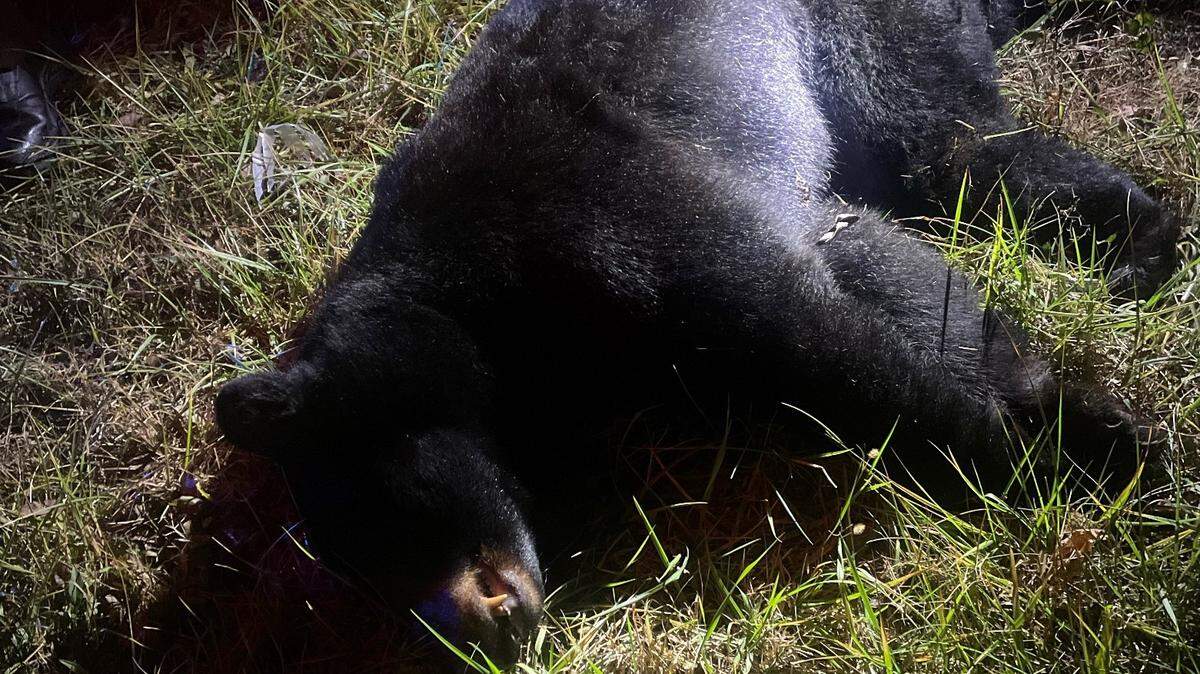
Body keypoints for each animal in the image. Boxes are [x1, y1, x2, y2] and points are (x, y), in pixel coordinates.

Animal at [215, 0, 1180, 665]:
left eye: (388, 520)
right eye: (369, 583)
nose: (476, 634)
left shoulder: (587, 199)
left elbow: (810, 333)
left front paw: (1072, 458)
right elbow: (873, 271)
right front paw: (1050, 406)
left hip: (864, 36)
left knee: (952, 139)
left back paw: (1145, 249)